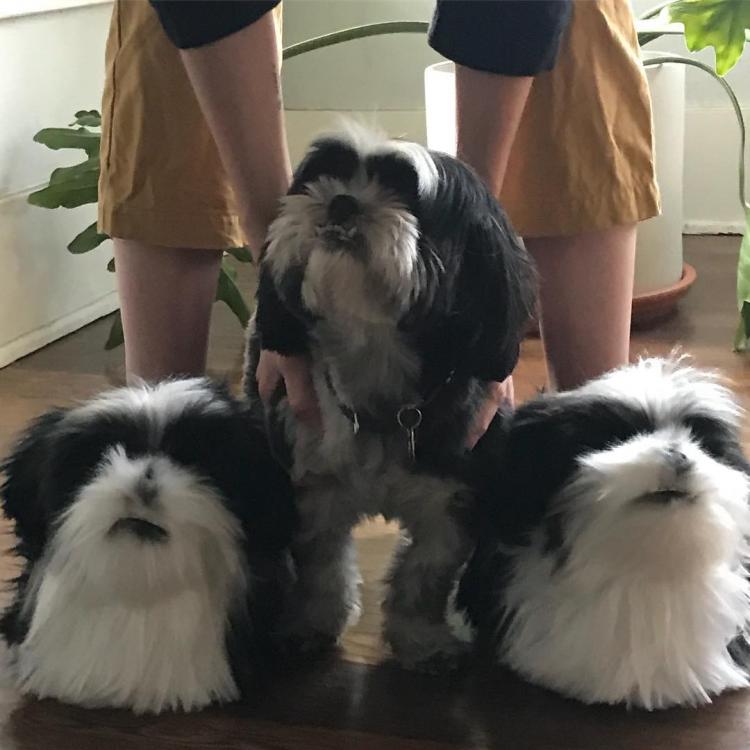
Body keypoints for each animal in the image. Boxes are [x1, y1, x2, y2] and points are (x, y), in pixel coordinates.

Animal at [248, 126, 540, 672]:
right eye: (324, 175)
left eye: (404, 192)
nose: (342, 201)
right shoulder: (315, 490)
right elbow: (320, 568)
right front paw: (311, 624)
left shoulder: (451, 501)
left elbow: (422, 579)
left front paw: (422, 640)